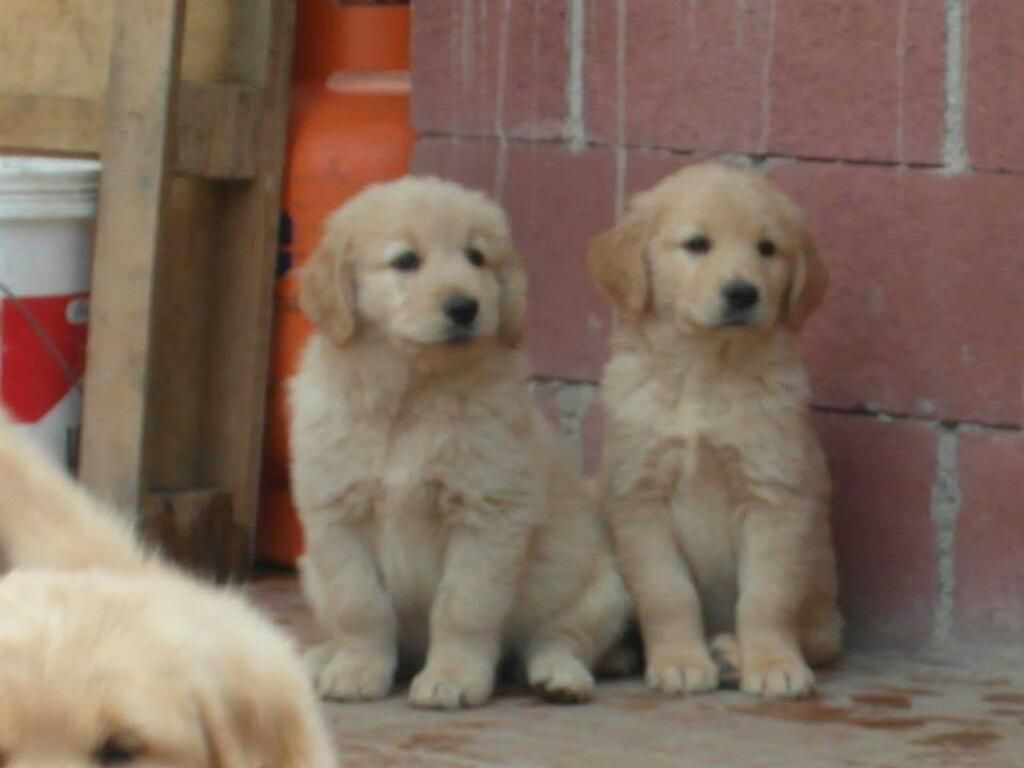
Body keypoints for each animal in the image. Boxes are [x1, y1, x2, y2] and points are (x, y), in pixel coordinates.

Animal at [290, 177, 630, 712]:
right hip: (311, 572)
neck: (410, 395)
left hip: (599, 590)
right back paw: (319, 657)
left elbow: (462, 605)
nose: (465, 307)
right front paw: (356, 668)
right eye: (406, 261)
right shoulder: (336, 516)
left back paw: (560, 678)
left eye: (476, 257)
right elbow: (360, 604)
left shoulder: (486, 512)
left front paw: (452, 676)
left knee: (558, 639)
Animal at [589, 165, 843, 700]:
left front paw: (772, 664)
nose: (743, 292)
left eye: (767, 248)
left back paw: (731, 654)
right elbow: (667, 591)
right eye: (696, 244)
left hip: (825, 606)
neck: (707, 372)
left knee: (817, 637)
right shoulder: (638, 499)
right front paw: (680, 661)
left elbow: (766, 594)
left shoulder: (775, 496)